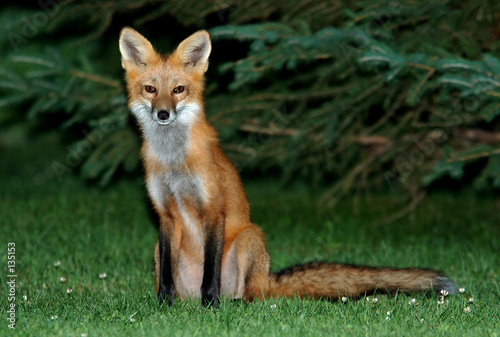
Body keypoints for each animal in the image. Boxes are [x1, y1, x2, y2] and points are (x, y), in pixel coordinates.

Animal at [119, 28, 456, 308]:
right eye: (150, 89)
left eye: (178, 90)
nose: (163, 114)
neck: (174, 162)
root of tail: (267, 279)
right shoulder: (164, 215)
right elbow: (165, 276)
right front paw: (163, 305)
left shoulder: (214, 210)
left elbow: (210, 272)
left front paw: (210, 305)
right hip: (158, 249)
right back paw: (182, 303)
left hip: (249, 238)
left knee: (252, 296)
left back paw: (230, 303)